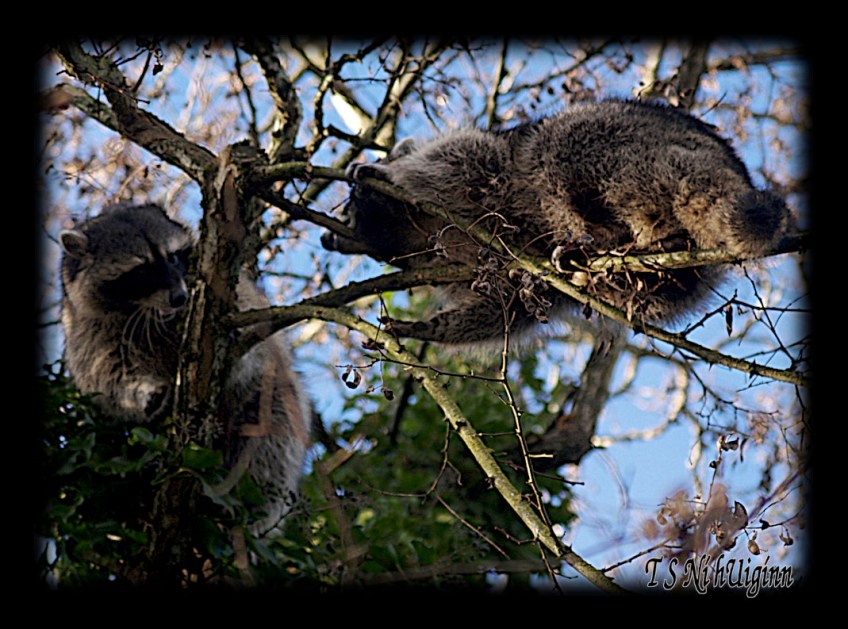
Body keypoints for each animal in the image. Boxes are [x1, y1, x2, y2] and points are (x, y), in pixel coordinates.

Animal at [59, 203, 311, 534]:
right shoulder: (87, 327)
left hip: (274, 395)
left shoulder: (235, 295)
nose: (179, 298)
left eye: (173, 257)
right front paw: (139, 392)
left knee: (271, 436)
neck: (149, 313)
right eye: (141, 271)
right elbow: (105, 375)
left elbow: (250, 329)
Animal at [323, 99, 791, 346]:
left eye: (346, 207)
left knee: (559, 146)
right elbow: (506, 309)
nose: (330, 237)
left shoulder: (487, 164)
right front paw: (433, 330)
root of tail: (732, 167)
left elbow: (454, 161)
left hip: (634, 142)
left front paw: (387, 174)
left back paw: (600, 230)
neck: (416, 231)